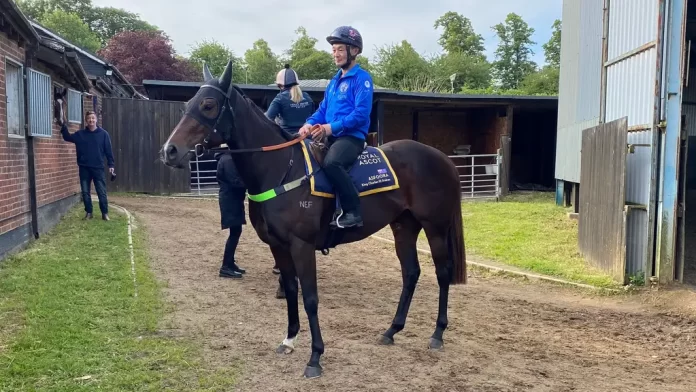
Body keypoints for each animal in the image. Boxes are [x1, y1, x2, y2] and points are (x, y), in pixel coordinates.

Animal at [158, 62, 468, 380]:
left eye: (208, 105)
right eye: (187, 104)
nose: (169, 150)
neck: (281, 169)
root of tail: (442, 158)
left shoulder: (302, 246)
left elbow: (310, 298)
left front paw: (315, 357)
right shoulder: (278, 246)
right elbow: (291, 290)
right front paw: (289, 339)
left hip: (435, 228)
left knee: (442, 273)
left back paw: (437, 333)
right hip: (404, 227)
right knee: (411, 274)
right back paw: (391, 330)